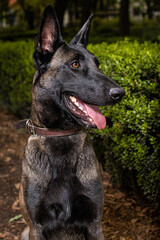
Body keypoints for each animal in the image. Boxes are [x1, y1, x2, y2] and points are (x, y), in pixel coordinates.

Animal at [17, 4, 125, 240]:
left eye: (98, 64)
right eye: (75, 64)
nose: (120, 93)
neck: (61, 135)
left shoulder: (94, 224)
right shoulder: (36, 227)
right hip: (25, 233)